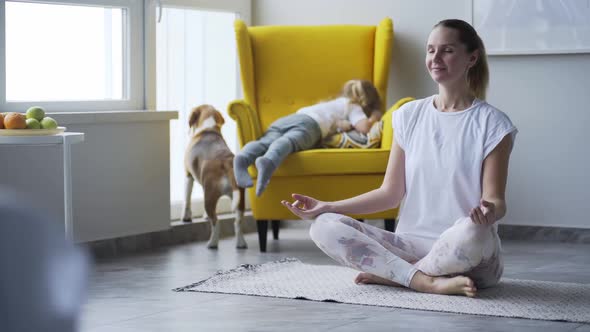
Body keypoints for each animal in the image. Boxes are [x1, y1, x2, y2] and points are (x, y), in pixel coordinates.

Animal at [183, 104, 247, 249]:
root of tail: (226, 162)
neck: (208, 128)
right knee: (238, 222)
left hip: (210, 198)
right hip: (239, 199)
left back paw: (212, 243)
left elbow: (187, 199)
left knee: (216, 222)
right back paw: (240, 243)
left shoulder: (188, 175)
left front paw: (186, 217)